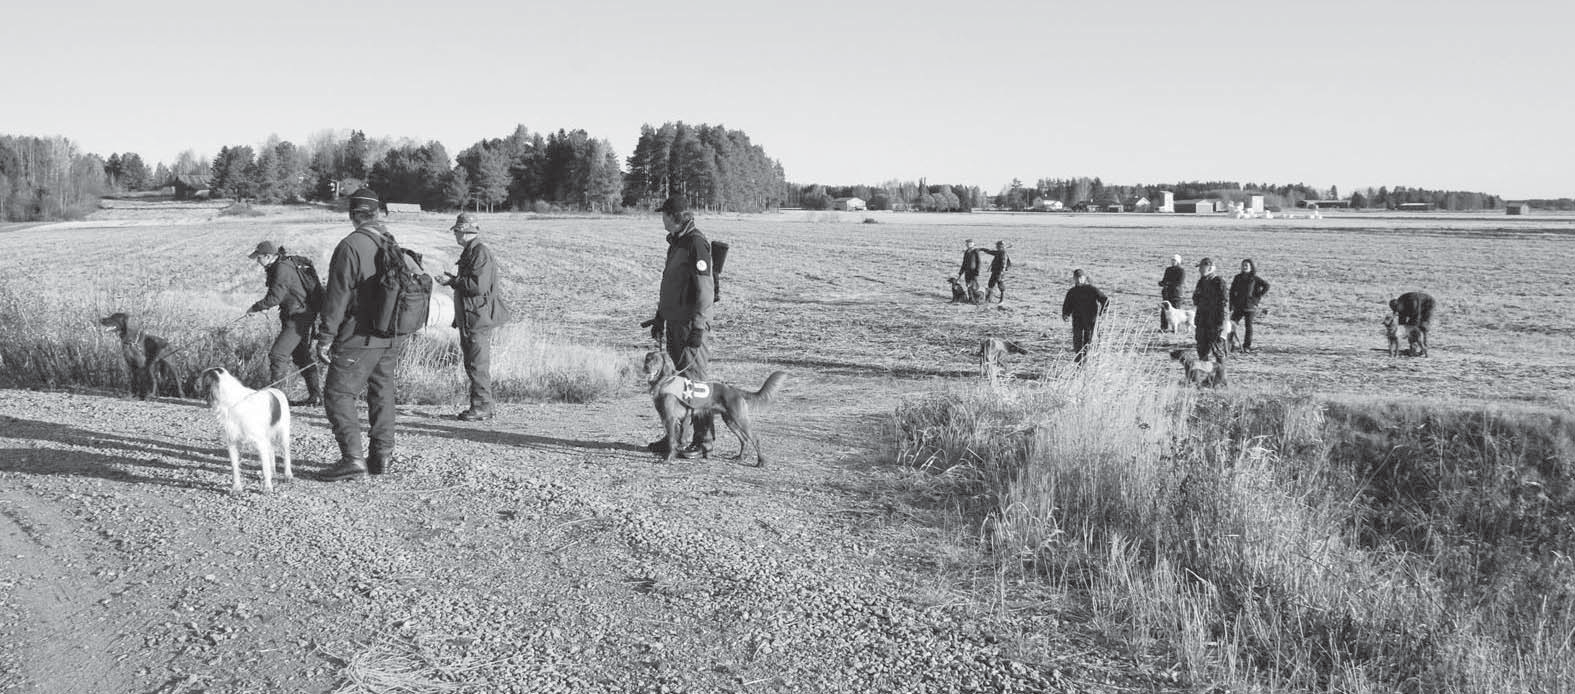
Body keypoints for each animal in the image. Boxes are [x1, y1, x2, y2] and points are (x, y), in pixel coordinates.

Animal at [642, 350, 784, 465]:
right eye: (647, 359)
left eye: (656, 360)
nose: (647, 368)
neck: (665, 381)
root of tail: (735, 390)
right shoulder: (667, 418)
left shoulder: (671, 419)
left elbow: (672, 440)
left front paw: (668, 458)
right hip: (730, 420)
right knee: (744, 440)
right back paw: (740, 457)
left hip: (740, 419)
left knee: (755, 439)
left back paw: (761, 461)